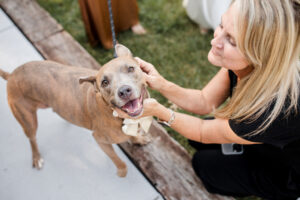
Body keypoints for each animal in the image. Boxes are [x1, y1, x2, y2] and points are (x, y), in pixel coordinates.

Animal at [0, 44, 150, 177]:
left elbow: (132, 136)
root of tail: (11, 75)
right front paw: (122, 171)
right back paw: (36, 158)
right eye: (105, 82)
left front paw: (137, 139)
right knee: (32, 138)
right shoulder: (100, 140)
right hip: (28, 121)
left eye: (130, 69)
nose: (124, 91)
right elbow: (117, 160)